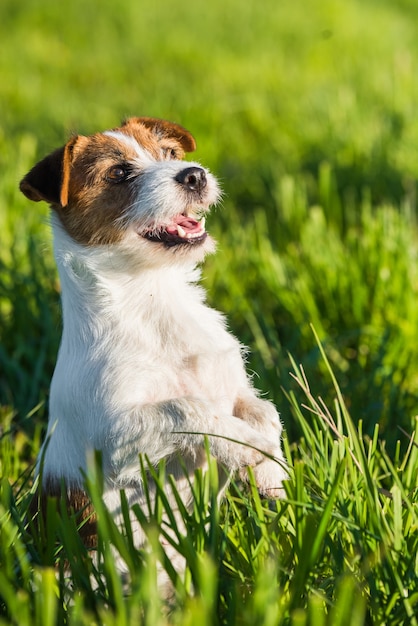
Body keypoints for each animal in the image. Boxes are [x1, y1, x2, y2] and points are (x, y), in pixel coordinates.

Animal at [19, 116, 288, 584]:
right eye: (118, 173)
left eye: (170, 154)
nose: (194, 175)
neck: (152, 295)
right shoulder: (115, 436)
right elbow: (189, 409)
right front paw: (249, 447)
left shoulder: (232, 385)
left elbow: (261, 409)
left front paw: (270, 468)